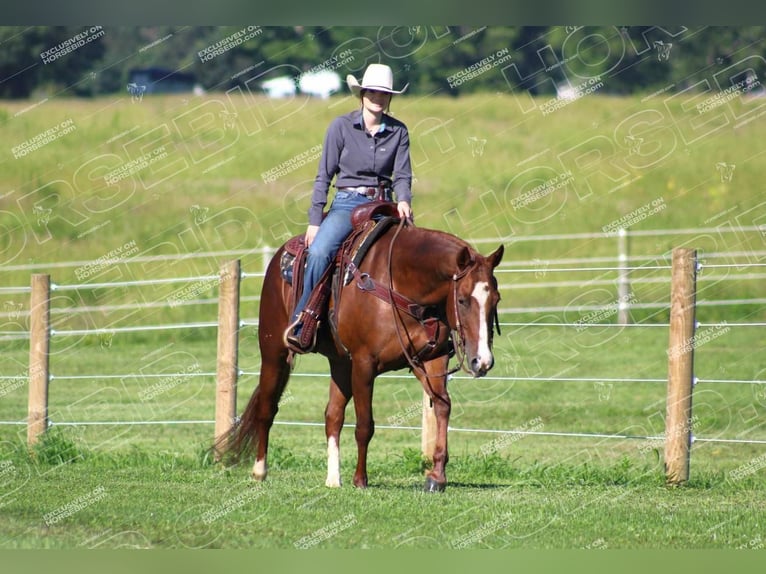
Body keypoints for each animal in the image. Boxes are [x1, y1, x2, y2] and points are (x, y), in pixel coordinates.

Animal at [222, 214, 508, 492]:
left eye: (496, 299)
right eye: (462, 300)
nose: (482, 361)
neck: (402, 285)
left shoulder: (431, 360)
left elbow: (442, 407)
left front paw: (436, 476)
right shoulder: (364, 364)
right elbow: (364, 425)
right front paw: (360, 480)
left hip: (340, 363)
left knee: (333, 415)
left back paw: (333, 479)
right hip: (274, 353)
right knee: (267, 408)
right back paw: (260, 471)